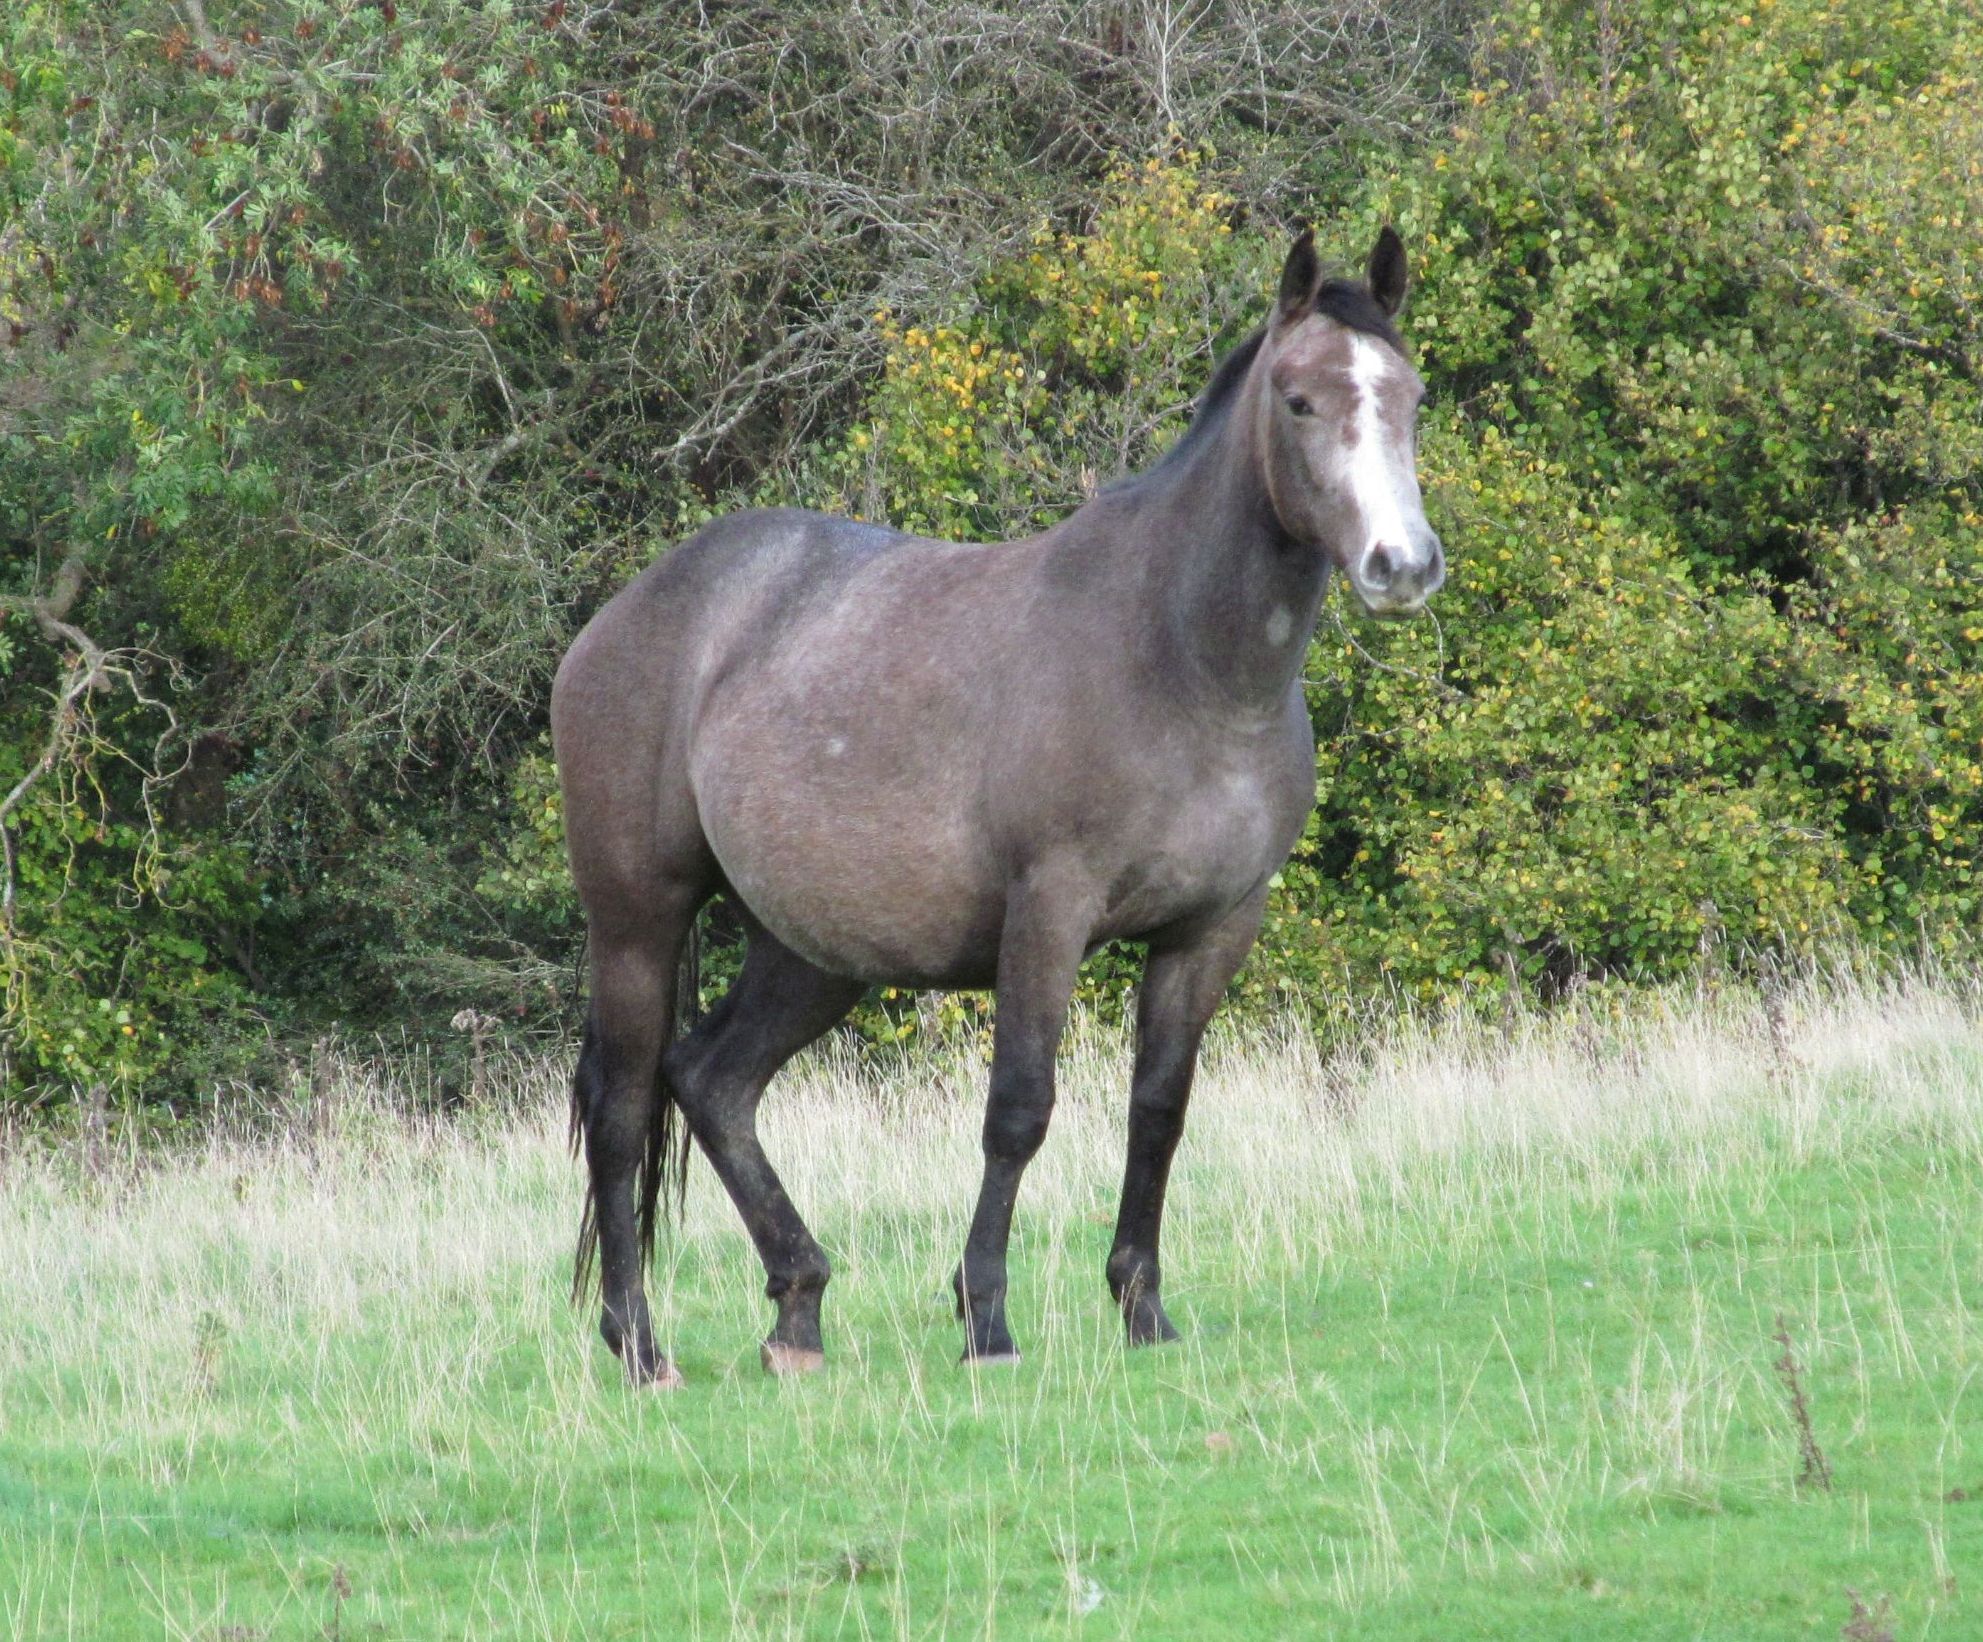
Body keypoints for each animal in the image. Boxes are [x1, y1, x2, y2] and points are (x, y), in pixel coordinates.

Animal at [551, 228, 1451, 1388]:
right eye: (1299, 400)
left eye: (1411, 396)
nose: (1403, 565)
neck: (1180, 662)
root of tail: (620, 618)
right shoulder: (1049, 911)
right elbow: (1018, 1112)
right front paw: (985, 1319)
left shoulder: (1213, 927)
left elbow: (1159, 1111)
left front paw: (1142, 1309)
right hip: (637, 921)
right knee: (622, 1111)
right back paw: (637, 1342)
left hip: (811, 952)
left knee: (711, 1082)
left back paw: (798, 1311)